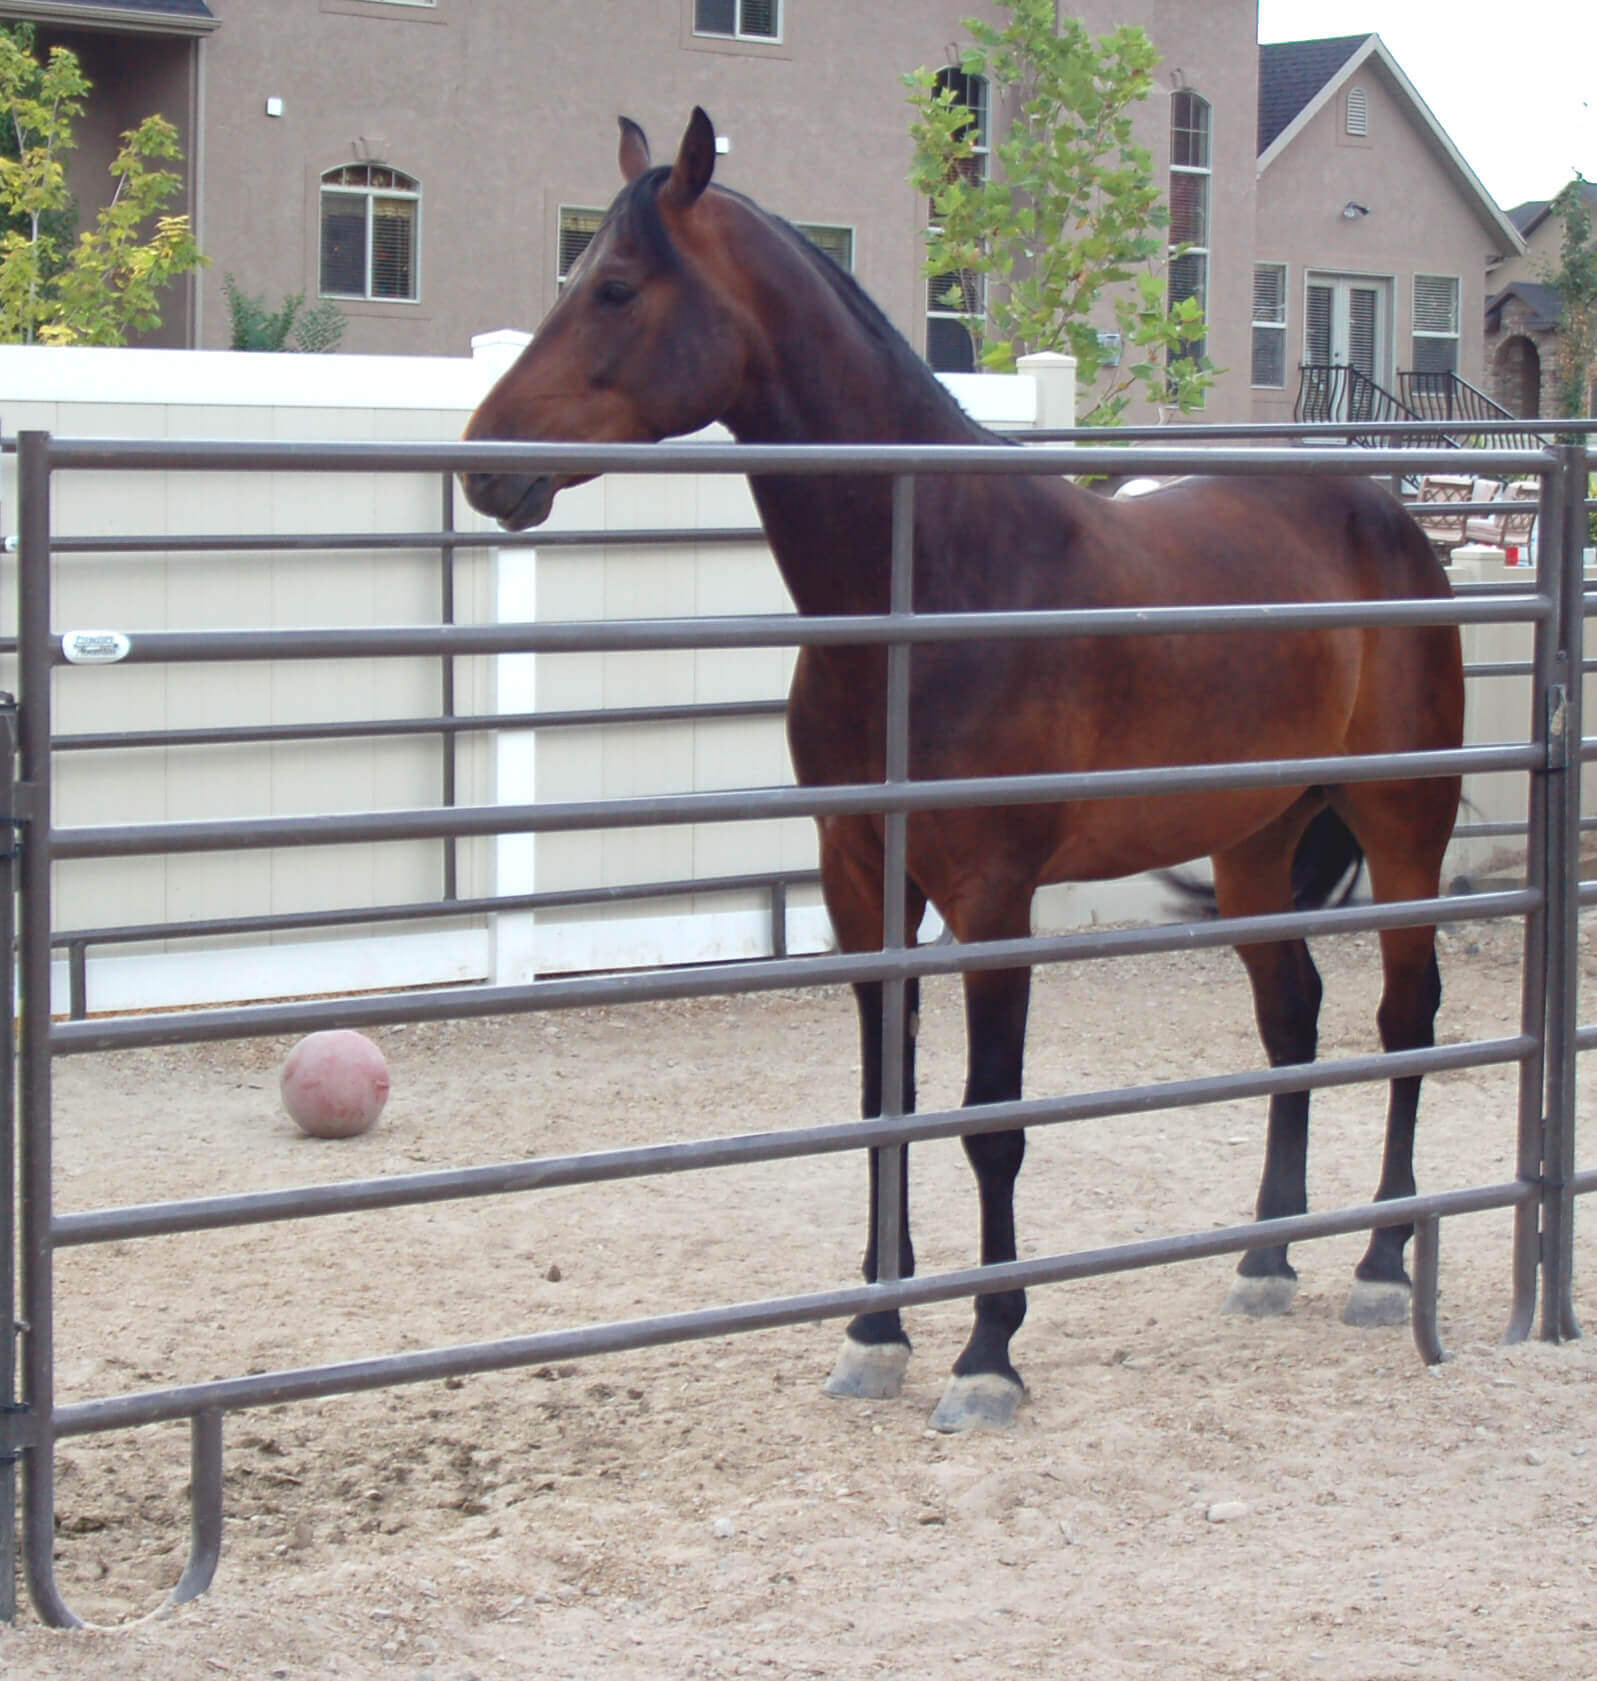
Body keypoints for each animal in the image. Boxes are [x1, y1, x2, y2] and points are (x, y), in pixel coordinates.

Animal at [460, 108, 1465, 1432]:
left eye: (616, 286)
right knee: (1289, 1015)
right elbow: (886, 1100)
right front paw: (874, 1332)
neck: (933, 581)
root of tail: (1392, 518)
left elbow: (992, 1120)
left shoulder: (992, 896)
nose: (484, 464)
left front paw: (988, 1351)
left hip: (1400, 826)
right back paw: (1264, 1258)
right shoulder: (862, 883)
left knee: (1404, 1017)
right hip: (1254, 841)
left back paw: (1381, 1261)